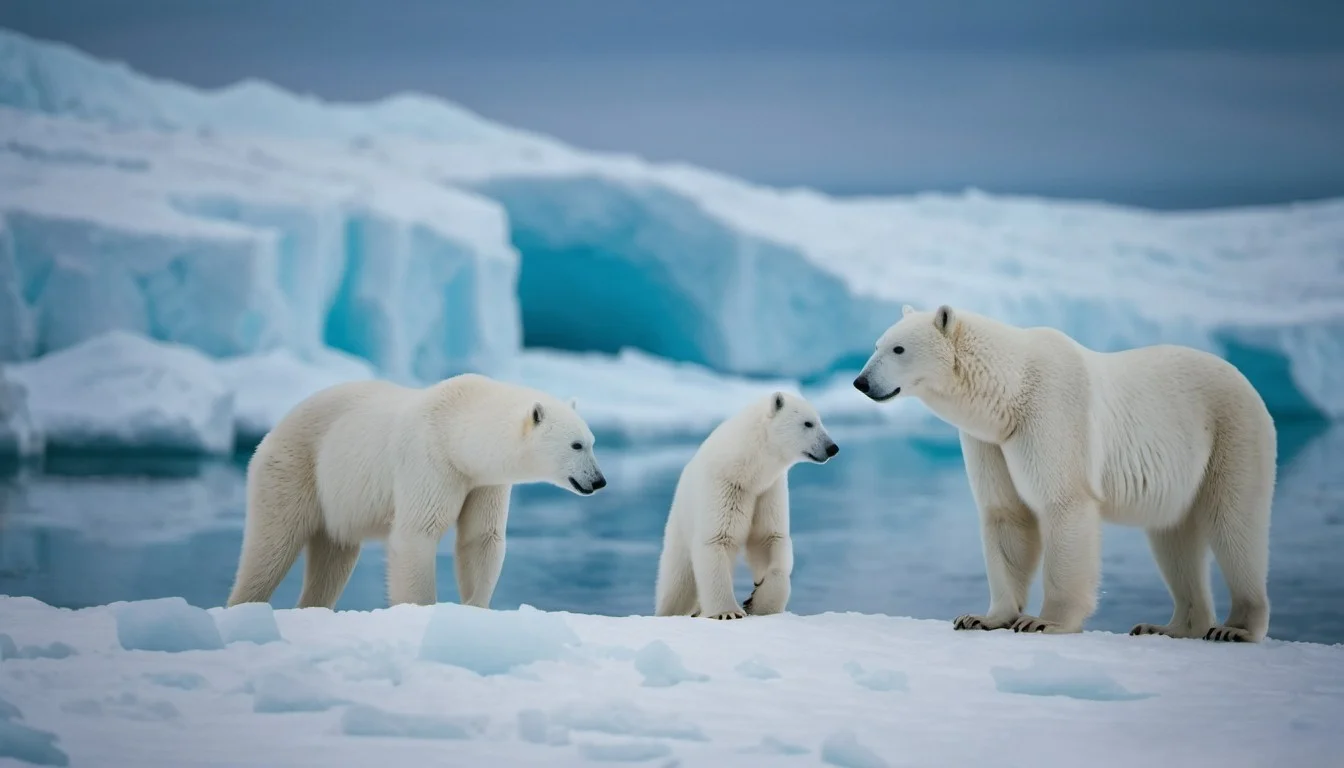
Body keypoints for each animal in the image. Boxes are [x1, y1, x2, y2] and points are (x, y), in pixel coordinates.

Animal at [226, 373, 607, 610]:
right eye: (576, 445)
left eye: (592, 442)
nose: (599, 480)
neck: (457, 429)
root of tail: (275, 428)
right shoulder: (429, 460)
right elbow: (418, 532)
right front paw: (421, 609)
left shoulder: (483, 481)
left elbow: (481, 538)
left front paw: (476, 606)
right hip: (295, 468)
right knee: (271, 545)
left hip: (336, 500)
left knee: (334, 558)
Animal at [654, 391, 840, 620]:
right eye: (808, 423)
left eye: (819, 421)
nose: (832, 448)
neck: (746, 468)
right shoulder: (725, 487)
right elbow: (717, 539)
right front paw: (728, 612)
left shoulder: (768, 491)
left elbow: (768, 539)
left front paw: (760, 602)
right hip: (680, 530)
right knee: (677, 585)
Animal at [853, 304, 1276, 643]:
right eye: (876, 345)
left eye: (898, 349)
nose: (860, 382)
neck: (1010, 390)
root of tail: (1247, 382)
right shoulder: (990, 441)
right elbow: (1006, 514)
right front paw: (981, 617)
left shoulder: (1052, 414)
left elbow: (1062, 502)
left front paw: (1044, 622)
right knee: (1174, 538)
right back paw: (1168, 626)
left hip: (1230, 433)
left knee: (1233, 524)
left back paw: (1234, 628)